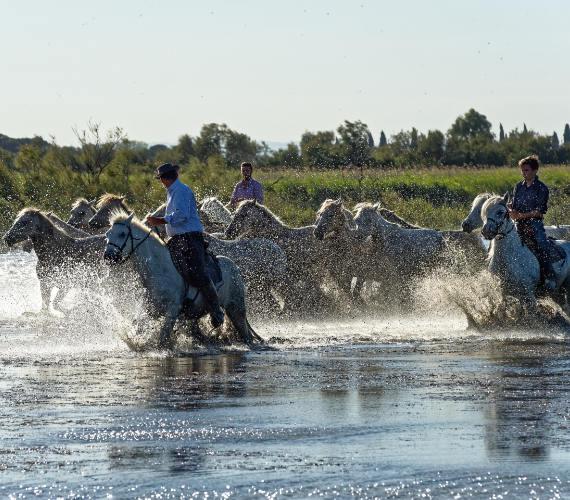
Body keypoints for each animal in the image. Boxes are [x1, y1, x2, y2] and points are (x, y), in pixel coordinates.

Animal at [104, 213, 260, 350]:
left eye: (122, 234)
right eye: (107, 234)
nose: (109, 256)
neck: (160, 270)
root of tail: (235, 267)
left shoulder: (173, 310)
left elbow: (163, 338)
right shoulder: (151, 309)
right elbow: (138, 326)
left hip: (236, 308)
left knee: (246, 335)